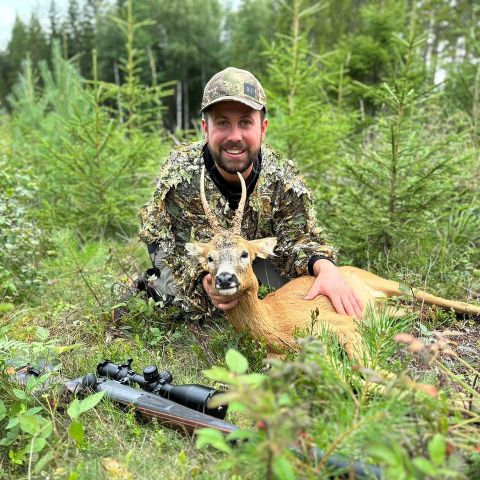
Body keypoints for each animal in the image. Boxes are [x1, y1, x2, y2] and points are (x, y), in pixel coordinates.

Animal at [186, 167, 480, 358]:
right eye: (209, 258)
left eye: (245, 253)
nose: (225, 279)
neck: (276, 325)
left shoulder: (343, 324)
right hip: (385, 308)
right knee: (416, 311)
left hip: (390, 284)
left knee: (441, 300)